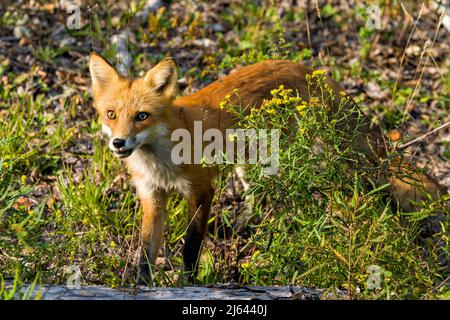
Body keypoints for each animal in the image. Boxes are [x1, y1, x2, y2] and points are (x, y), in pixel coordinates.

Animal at [89, 52, 446, 282]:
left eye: (142, 116)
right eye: (111, 115)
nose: (118, 143)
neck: (159, 159)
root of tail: (304, 68)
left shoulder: (202, 190)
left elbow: (190, 248)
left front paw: (186, 285)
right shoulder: (152, 196)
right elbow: (145, 255)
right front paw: (142, 286)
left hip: (294, 159)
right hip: (250, 163)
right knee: (257, 198)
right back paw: (240, 227)